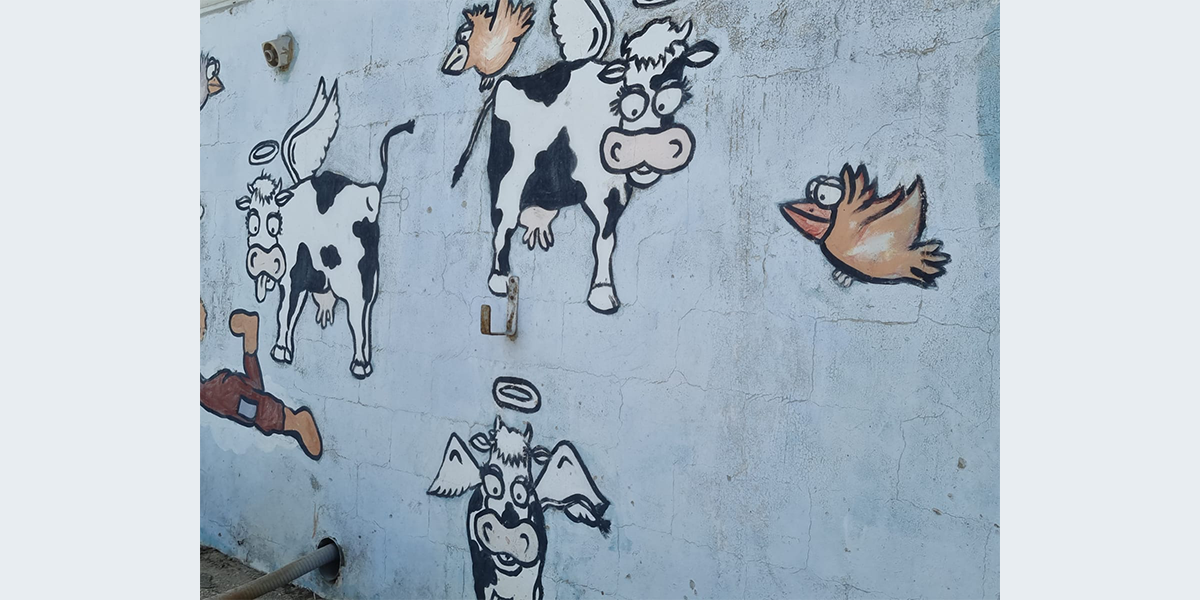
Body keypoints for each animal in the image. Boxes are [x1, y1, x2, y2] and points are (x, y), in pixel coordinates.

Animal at [236, 77, 415, 379]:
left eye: (275, 221)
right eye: (251, 218)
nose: (264, 261)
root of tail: (372, 190)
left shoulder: (294, 275)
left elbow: (286, 311)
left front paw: (280, 351)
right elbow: (288, 310)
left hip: (357, 278)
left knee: (358, 316)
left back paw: (360, 365)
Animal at [450, 1, 719, 314]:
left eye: (671, 94)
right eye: (627, 95)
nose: (645, 146)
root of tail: (506, 82)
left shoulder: (617, 187)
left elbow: (607, 238)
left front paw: (600, 292)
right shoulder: (598, 185)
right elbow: (603, 240)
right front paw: (602, 293)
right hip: (507, 174)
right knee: (503, 222)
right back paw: (499, 279)